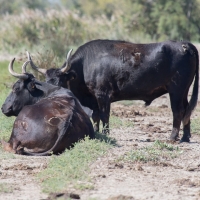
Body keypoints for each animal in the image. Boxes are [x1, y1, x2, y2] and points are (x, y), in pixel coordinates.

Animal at [28, 39, 199, 142]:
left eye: (61, 80)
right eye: (47, 81)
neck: (85, 64)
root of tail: (184, 44)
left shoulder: (103, 95)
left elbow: (104, 115)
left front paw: (105, 133)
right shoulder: (94, 98)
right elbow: (96, 116)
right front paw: (97, 132)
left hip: (176, 90)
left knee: (178, 111)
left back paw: (173, 137)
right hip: (184, 91)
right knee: (186, 110)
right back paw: (185, 137)